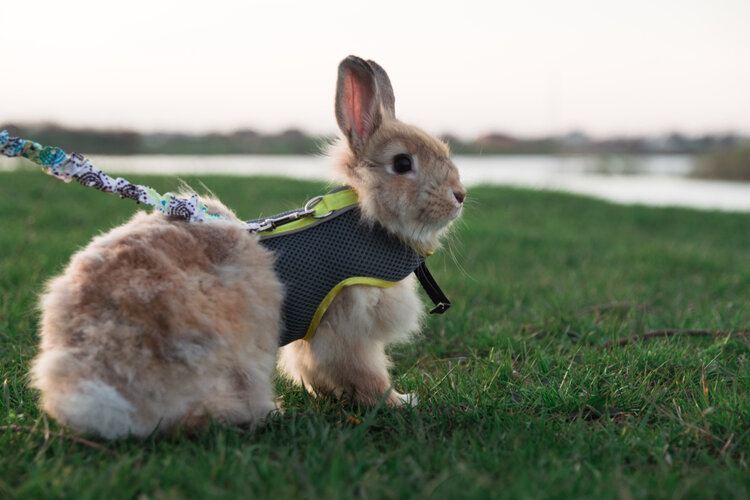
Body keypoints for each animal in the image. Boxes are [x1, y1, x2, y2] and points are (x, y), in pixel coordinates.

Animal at [31, 55, 465, 439]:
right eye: (403, 164)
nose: (459, 196)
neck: (369, 220)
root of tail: (89, 392)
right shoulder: (346, 330)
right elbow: (365, 375)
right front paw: (399, 401)